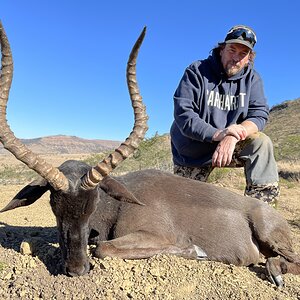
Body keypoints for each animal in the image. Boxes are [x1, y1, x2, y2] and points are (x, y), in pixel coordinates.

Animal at [0, 21, 298, 286]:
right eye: (53, 204)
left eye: (93, 204)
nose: (76, 269)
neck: (118, 205)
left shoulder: (152, 235)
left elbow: (103, 248)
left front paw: (196, 251)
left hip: (269, 235)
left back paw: (274, 271)